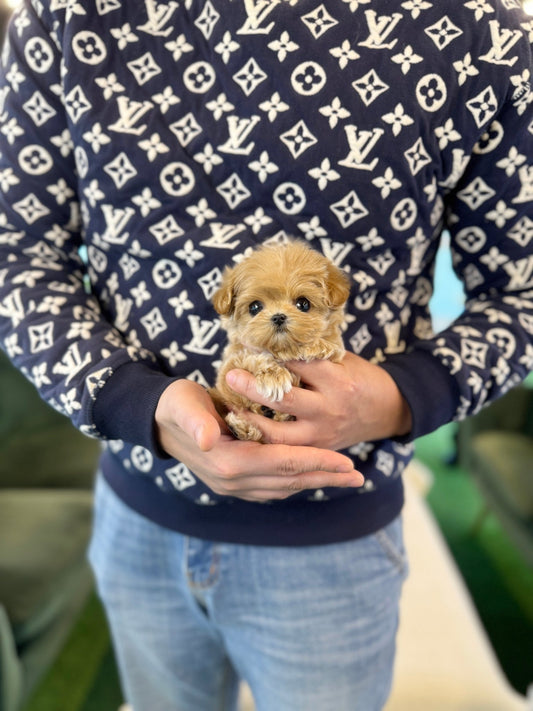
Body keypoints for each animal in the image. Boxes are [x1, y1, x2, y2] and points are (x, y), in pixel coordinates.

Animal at [210, 242, 352, 442]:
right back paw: (241, 427)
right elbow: (247, 359)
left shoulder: (336, 356)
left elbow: (331, 348)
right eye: (255, 307)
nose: (278, 317)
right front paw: (273, 376)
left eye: (303, 304)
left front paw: (313, 346)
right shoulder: (227, 375)